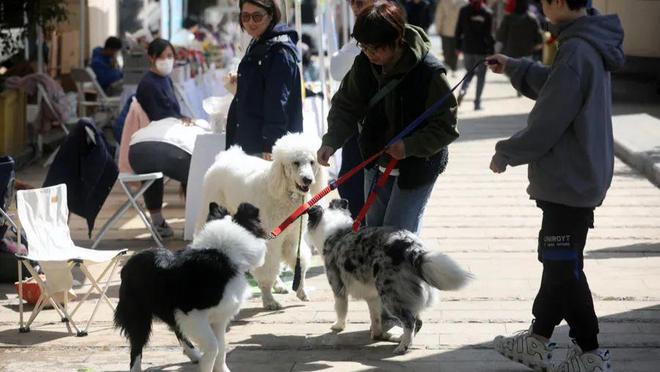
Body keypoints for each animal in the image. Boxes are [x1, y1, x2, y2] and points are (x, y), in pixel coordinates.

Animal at [115, 202, 268, 370]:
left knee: (177, 330)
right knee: (136, 347)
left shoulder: (219, 317)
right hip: (138, 313)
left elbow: (222, 348)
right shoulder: (192, 314)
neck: (222, 253)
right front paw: (206, 366)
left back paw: (194, 355)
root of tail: (128, 264)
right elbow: (214, 346)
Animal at [199, 132, 328, 310]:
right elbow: (266, 269)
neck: (284, 193)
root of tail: (226, 156)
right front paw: (269, 300)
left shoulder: (292, 238)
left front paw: (301, 290)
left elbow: (299, 262)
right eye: (295, 163)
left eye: (312, 162)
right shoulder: (269, 239)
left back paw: (279, 285)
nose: (307, 179)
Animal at [306, 201, 472, 354]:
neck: (335, 231)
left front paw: (338, 326)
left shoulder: (338, 287)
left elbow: (341, 310)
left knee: (410, 321)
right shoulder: (372, 296)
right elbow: (375, 317)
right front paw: (377, 334)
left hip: (391, 295)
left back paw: (402, 346)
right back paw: (402, 339)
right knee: (418, 321)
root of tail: (412, 249)